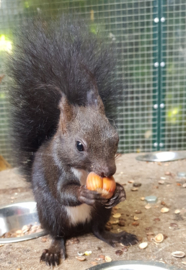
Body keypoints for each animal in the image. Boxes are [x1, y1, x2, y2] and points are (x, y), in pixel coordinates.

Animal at [9, 16, 138, 266]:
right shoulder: (55, 172)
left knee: (98, 230)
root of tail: (78, 229)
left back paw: (117, 237)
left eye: (116, 138)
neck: (84, 171)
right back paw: (53, 251)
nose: (108, 171)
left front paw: (119, 191)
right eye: (79, 146)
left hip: (100, 212)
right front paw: (82, 193)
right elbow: (63, 192)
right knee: (58, 234)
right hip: (51, 213)